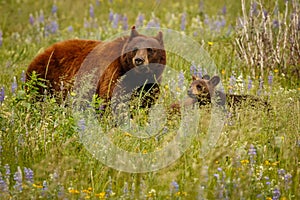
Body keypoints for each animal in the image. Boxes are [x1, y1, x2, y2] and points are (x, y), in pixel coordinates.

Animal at [25, 26, 166, 108]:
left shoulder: (150, 84)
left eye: (150, 50)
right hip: (44, 80)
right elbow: (111, 99)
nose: (138, 60)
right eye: (134, 49)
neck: (136, 77)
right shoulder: (114, 73)